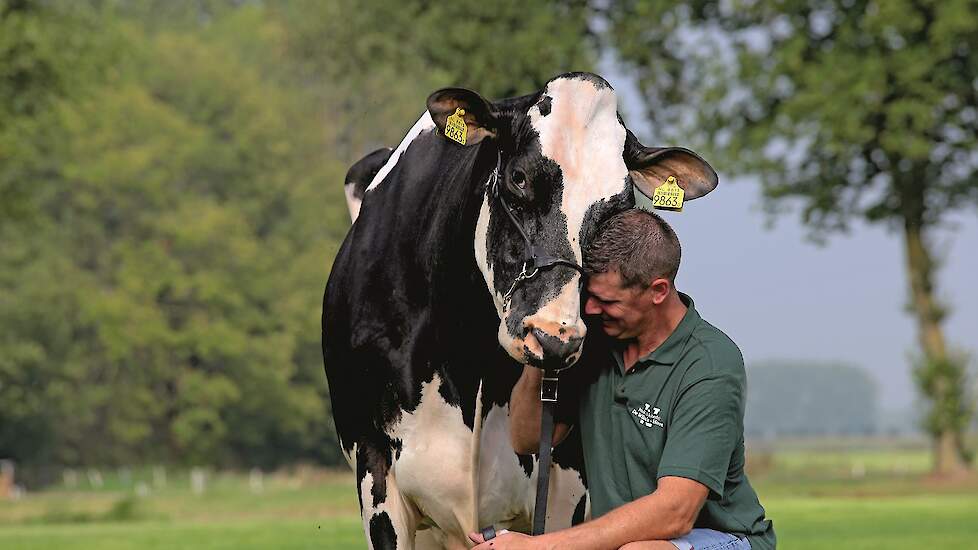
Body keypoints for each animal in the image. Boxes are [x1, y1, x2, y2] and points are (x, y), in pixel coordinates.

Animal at [324, 73, 712, 550]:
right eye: (519, 177)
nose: (554, 338)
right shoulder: (375, 466)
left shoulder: (567, 487)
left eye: (621, 206)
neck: (466, 357)